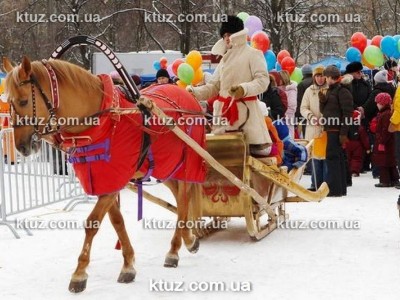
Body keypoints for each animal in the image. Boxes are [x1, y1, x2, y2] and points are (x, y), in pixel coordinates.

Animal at [1, 56, 205, 292]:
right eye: (8, 102)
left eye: (24, 101)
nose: (22, 147)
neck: (104, 122)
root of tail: (187, 95)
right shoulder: (105, 182)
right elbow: (117, 222)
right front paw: (128, 263)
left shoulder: (113, 181)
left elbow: (92, 223)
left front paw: (79, 272)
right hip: (165, 167)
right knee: (180, 200)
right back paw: (186, 240)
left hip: (186, 162)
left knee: (184, 198)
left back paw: (176, 248)